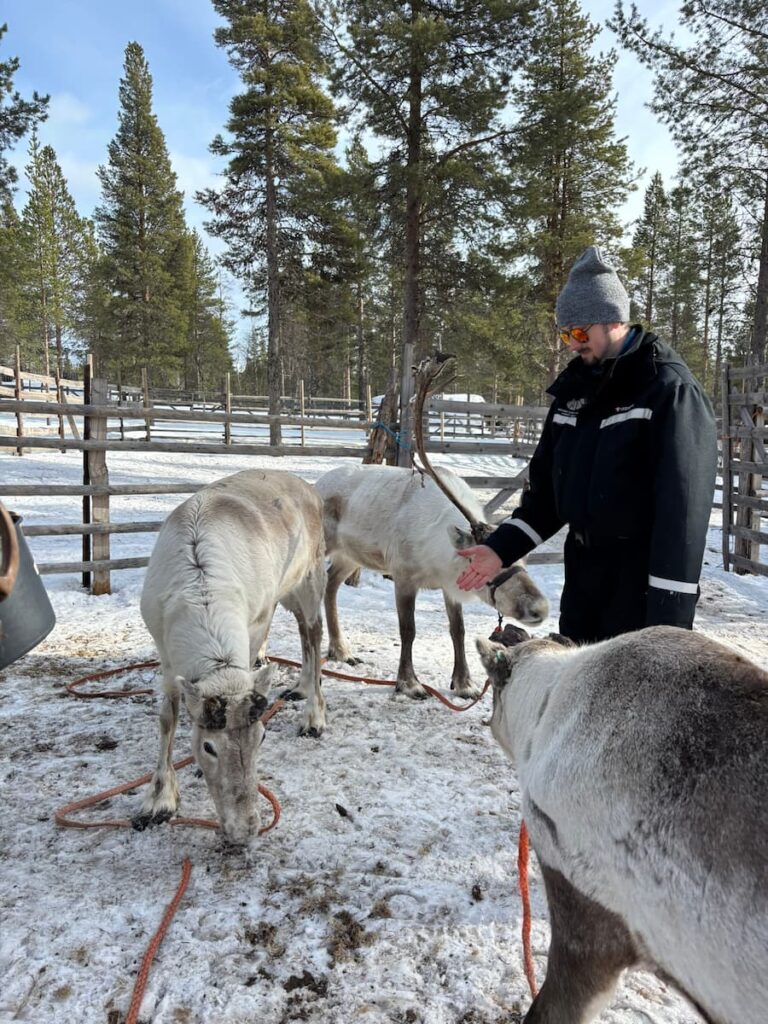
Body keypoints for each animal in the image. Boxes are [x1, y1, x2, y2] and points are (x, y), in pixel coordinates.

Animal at [136, 469, 326, 846]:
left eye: (262, 737)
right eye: (209, 747)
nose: (245, 830)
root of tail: (306, 487)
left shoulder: (257, 621)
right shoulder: (165, 651)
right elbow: (167, 718)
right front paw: (159, 801)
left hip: (311, 576)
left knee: (315, 632)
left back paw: (314, 718)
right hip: (288, 590)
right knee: (302, 629)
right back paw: (298, 688)